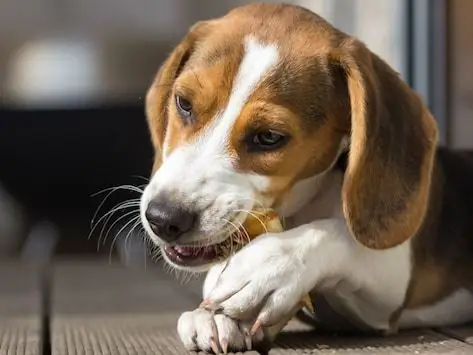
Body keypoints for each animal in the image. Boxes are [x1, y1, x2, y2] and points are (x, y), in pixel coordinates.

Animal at [139, 2, 472, 354]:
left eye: (269, 137)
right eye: (184, 104)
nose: (163, 218)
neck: (303, 204)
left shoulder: (389, 290)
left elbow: (338, 236)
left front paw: (266, 266)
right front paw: (213, 316)